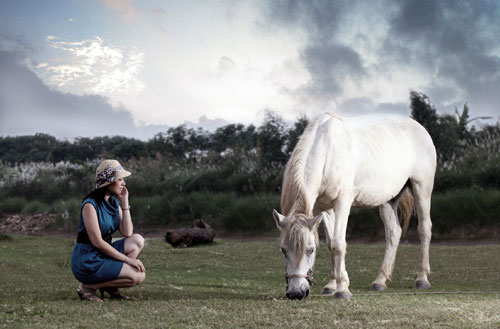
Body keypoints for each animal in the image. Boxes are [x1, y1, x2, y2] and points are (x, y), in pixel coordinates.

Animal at [272, 113, 436, 300]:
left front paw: (342, 290)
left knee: (424, 229)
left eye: (311, 250)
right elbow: (331, 244)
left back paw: (422, 279)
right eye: (283, 249)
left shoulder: (343, 203)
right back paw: (380, 281)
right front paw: (332, 285)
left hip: (422, 188)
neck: (327, 150)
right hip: (388, 200)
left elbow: (338, 244)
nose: (296, 293)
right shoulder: (324, 209)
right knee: (394, 233)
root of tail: (420, 128)